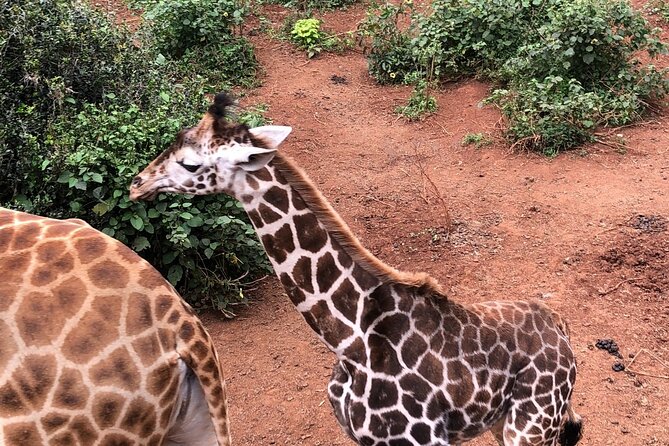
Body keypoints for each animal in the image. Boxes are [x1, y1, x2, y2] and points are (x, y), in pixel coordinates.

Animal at [129, 93, 583, 446]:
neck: (351, 341)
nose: (137, 184)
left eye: (190, 164)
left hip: (531, 425)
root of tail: (561, 327)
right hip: (504, 423)